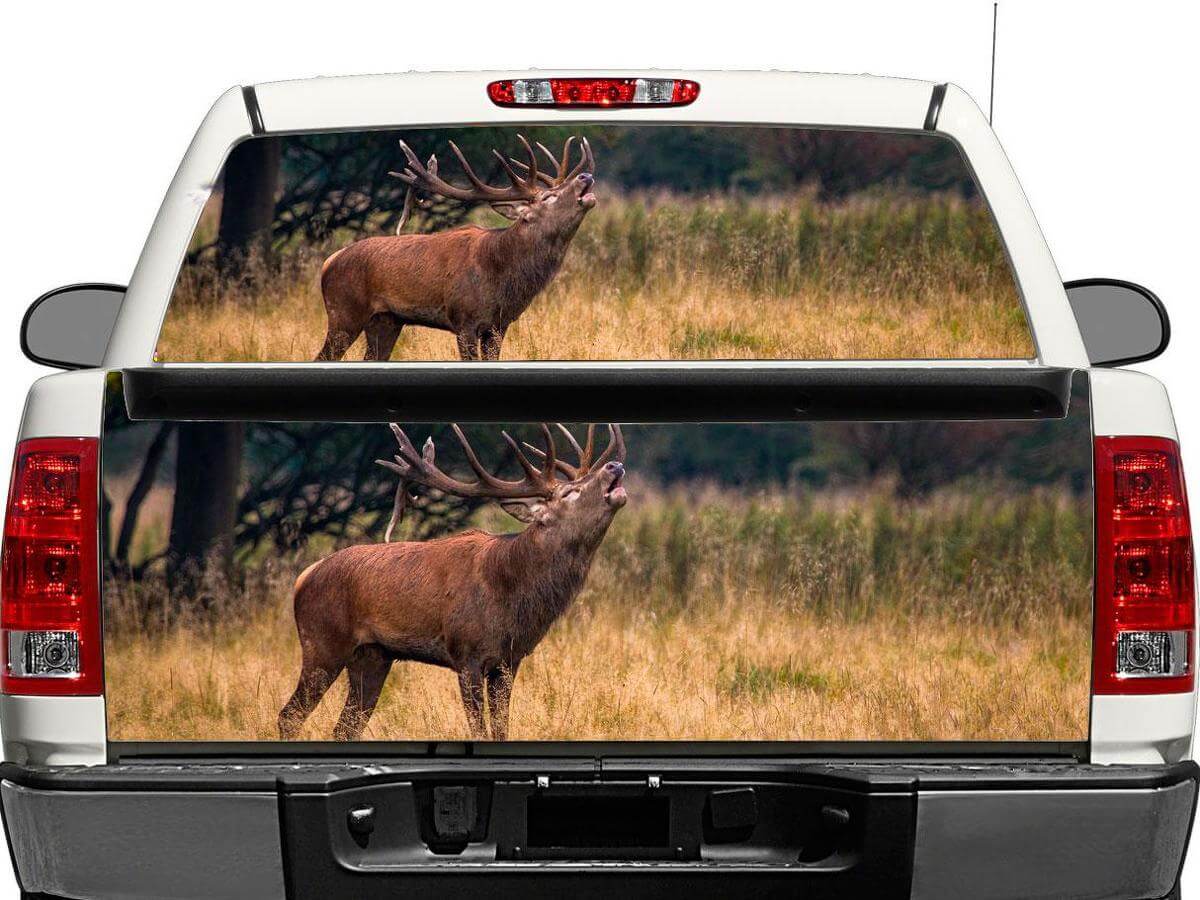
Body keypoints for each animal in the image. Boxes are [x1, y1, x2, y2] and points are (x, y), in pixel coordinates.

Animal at [278, 422, 627, 741]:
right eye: (571, 492)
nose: (615, 465)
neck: (513, 595)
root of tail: (304, 577)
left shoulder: (508, 661)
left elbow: (502, 731)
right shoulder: (467, 654)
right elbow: (480, 733)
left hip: (372, 656)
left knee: (344, 728)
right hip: (322, 642)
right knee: (289, 716)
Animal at [316, 135, 597, 362]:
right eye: (549, 197)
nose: (586, 175)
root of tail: (329, 261)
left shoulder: (499, 325)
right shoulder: (464, 320)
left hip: (385, 321)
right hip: (343, 312)